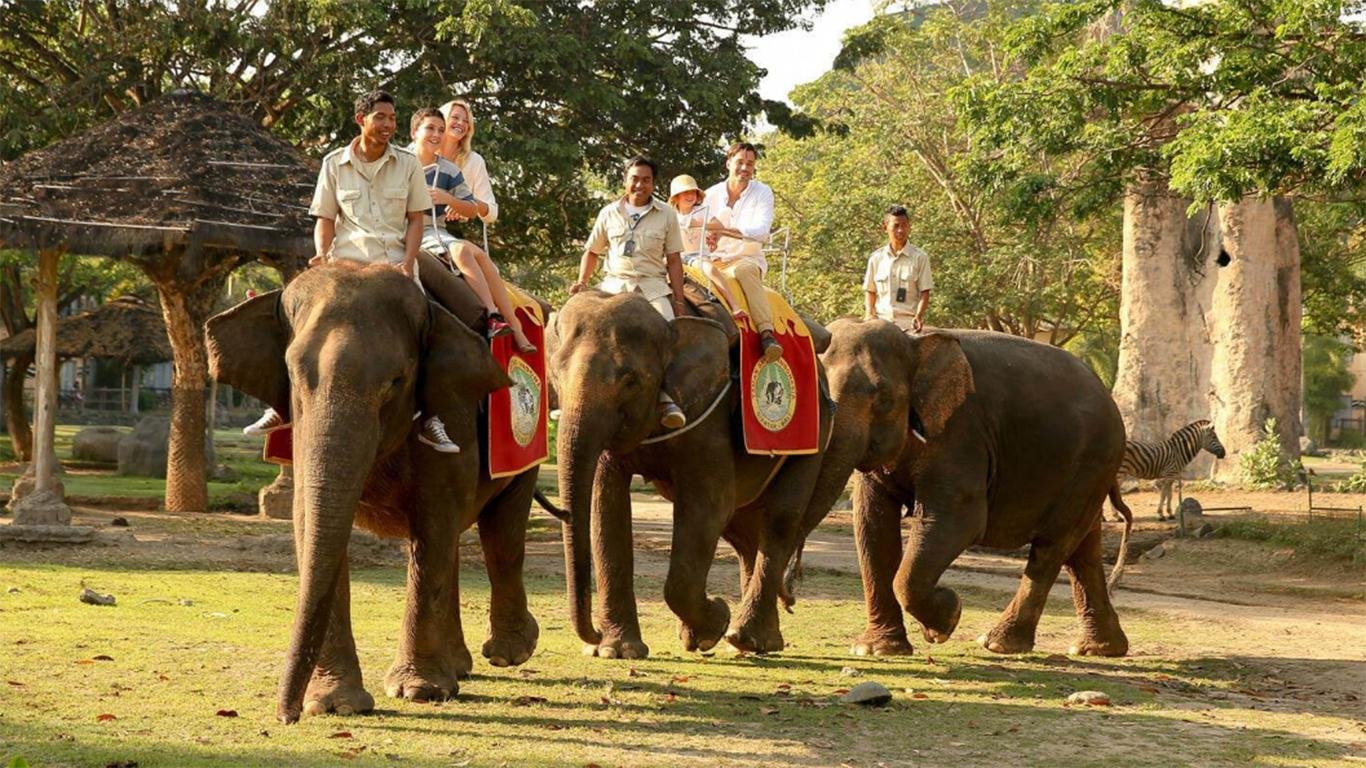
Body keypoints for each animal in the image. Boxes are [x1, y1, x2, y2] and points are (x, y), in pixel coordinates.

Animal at [206, 258, 546, 723]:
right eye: (292, 376)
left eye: (397, 381)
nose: (286, 716)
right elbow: (311, 520)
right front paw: (334, 704)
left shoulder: (452, 410)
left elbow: (434, 522)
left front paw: (419, 691)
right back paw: (459, 667)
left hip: (526, 442)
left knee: (501, 530)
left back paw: (509, 653)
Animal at [548, 289, 836, 658]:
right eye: (556, 372)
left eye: (631, 381)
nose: (593, 635)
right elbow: (607, 506)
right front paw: (617, 651)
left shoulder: (709, 415)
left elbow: (707, 505)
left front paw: (716, 621)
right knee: (743, 531)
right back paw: (748, 641)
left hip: (813, 432)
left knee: (781, 517)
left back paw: (745, 638)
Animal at [785, 319, 1133, 659]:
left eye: (884, 401)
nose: (790, 597)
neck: (912, 340)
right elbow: (873, 525)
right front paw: (876, 649)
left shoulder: (961, 433)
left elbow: (959, 520)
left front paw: (946, 618)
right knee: (1081, 547)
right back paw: (1099, 649)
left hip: (1092, 460)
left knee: (1053, 545)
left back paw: (999, 643)